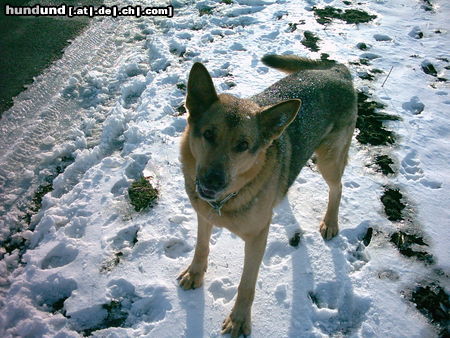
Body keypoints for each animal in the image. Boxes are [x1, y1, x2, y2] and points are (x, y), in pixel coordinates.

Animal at [178, 54, 356, 336]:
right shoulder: (204, 216)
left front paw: (239, 320)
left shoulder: (257, 238)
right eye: (208, 134)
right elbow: (201, 247)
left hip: (329, 160)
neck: (226, 201)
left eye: (243, 145)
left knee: (337, 188)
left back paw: (330, 222)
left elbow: (246, 285)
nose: (212, 181)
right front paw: (195, 273)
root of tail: (337, 70)